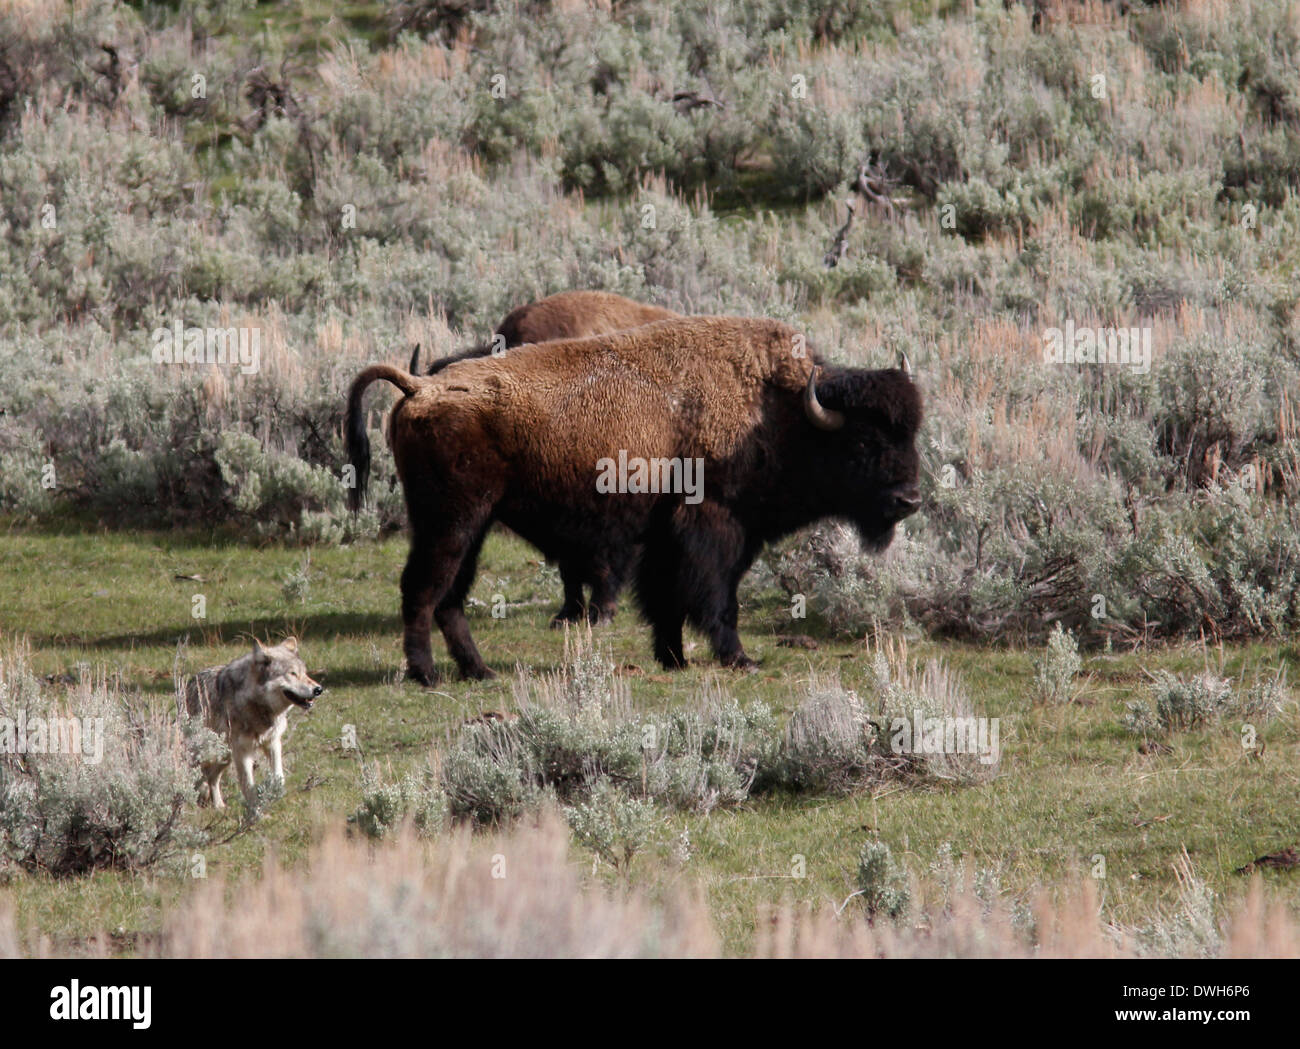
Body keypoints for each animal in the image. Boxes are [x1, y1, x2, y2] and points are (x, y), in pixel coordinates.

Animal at [180, 637, 322, 809]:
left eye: (304, 673)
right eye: (292, 673)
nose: (318, 689)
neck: (258, 706)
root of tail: (190, 683)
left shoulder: (272, 742)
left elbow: (279, 776)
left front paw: (274, 794)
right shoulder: (242, 751)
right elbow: (248, 785)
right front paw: (255, 809)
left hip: (225, 756)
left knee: (211, 776)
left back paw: (219, 806)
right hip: (206, 753)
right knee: (193, 774)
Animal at [346, 315, 922, 685]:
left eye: (912, 435)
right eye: (864, 442)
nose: (910, 500)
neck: (778, 410)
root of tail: (419, 387)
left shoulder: (667, 536)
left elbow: (666, 599)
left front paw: (674, 659)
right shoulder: (717, 527)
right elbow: (716, 599)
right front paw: (739, 659)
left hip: (473, 525)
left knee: (449, 597)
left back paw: (478, 671)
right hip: (451, 522)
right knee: (423, 589)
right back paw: (425, 673)